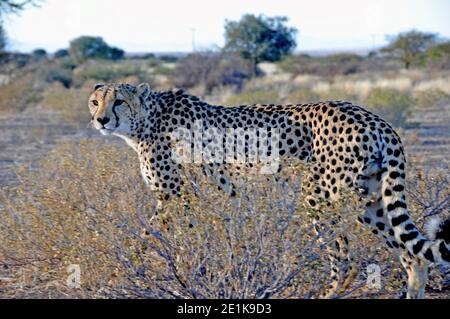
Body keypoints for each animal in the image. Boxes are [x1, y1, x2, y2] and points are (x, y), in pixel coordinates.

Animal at [89, 83, 450, 300]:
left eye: (118, 101)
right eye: (95, 101)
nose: (101, 120)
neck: (146, 120)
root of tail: (373, 118)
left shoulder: (174, 198)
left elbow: (147, 239)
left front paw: (120, 275)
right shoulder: (189, 201)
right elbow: (178, 242)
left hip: (319, 198)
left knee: (344, 260)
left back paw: (325, 293)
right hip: (371, 200)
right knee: (413, 255)